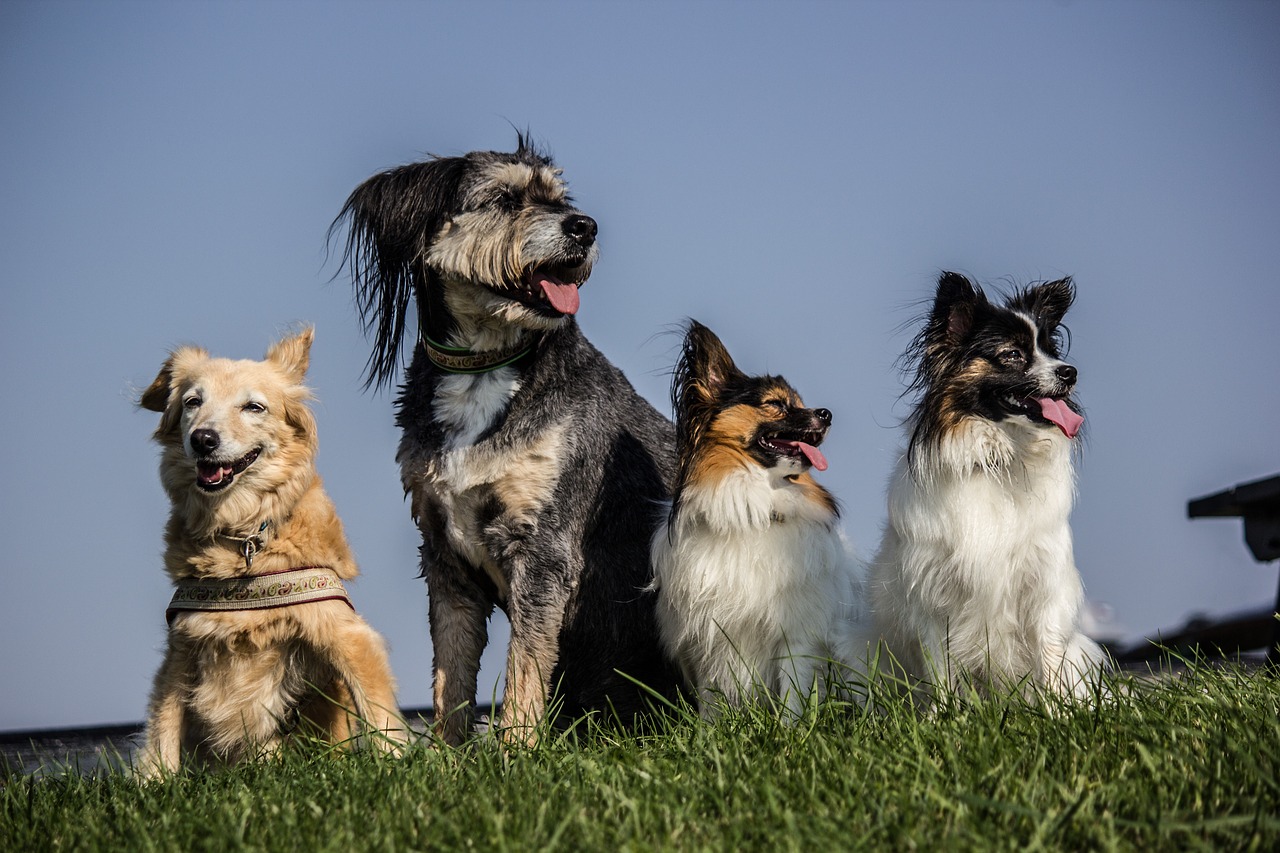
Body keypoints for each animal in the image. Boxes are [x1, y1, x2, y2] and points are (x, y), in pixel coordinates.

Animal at [137, 326, 404, 778]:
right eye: (193, 402)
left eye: (253, 406)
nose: (202, 439)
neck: (242, 536)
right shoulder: (182, 650)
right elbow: (162, 731)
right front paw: (154, 783)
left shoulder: (344, 632)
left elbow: (379, 712)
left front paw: (403, 765)